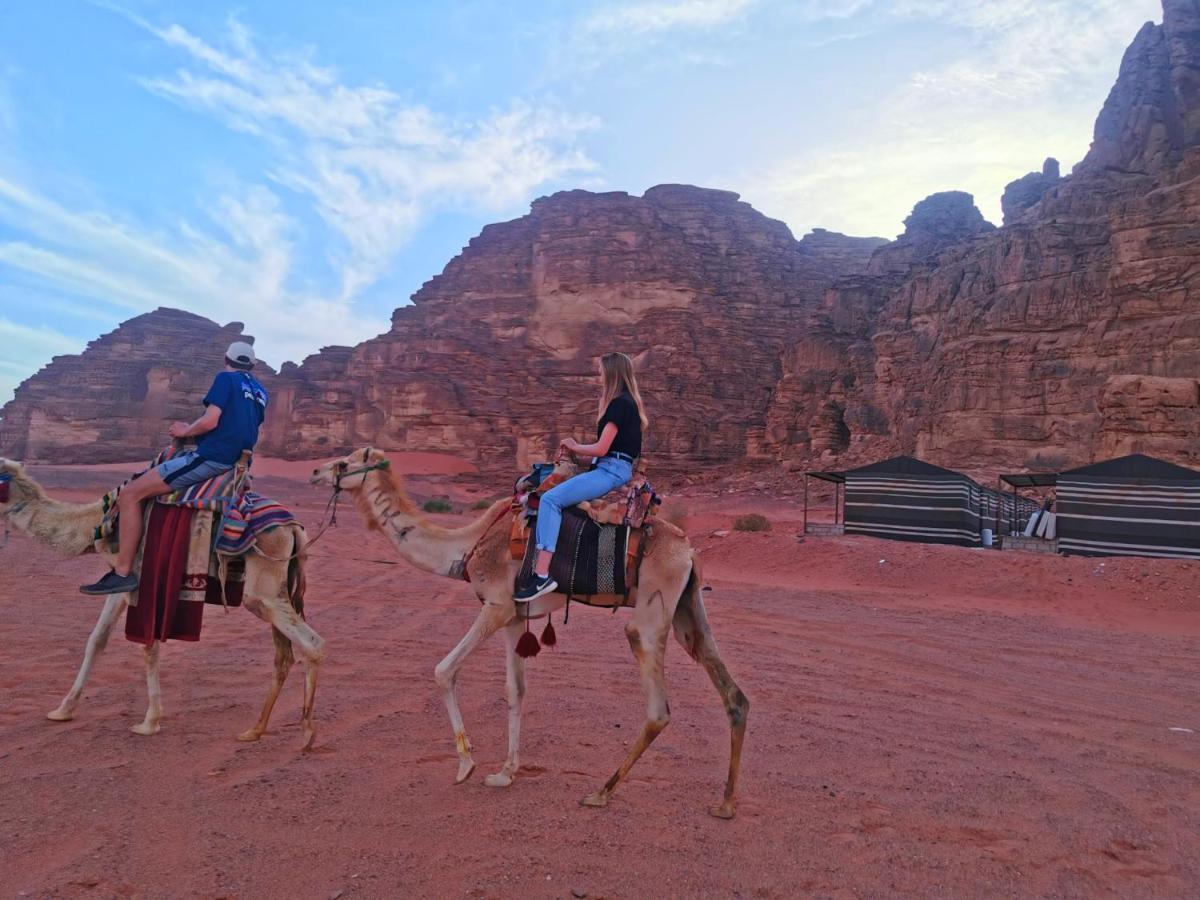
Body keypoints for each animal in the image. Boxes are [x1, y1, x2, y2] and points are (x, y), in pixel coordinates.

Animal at [0, 460, 324, 748]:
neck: (96, 524)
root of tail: (294, 528)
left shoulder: (142, 575)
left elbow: (148, 646)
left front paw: (149, 721)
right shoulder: (120, 579)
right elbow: (98, 638)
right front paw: (63, 710)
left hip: (263, 586)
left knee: (311, 643)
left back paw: (307, 732)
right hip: (279, 586)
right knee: (284, 655)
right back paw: (255, 730)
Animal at [309, 448, 744, 820]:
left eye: (344, 462)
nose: (314, 471)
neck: (467, 547)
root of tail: (689, 550)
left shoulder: (496, 605)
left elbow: (444, 671)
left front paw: (466, 765)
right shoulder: (517, 616)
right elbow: (515, 690)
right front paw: (505, 772)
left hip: (654, 604)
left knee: (656, 701)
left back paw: (600, 792)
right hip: (686, 605)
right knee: (730, 690)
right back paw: (725, 803)